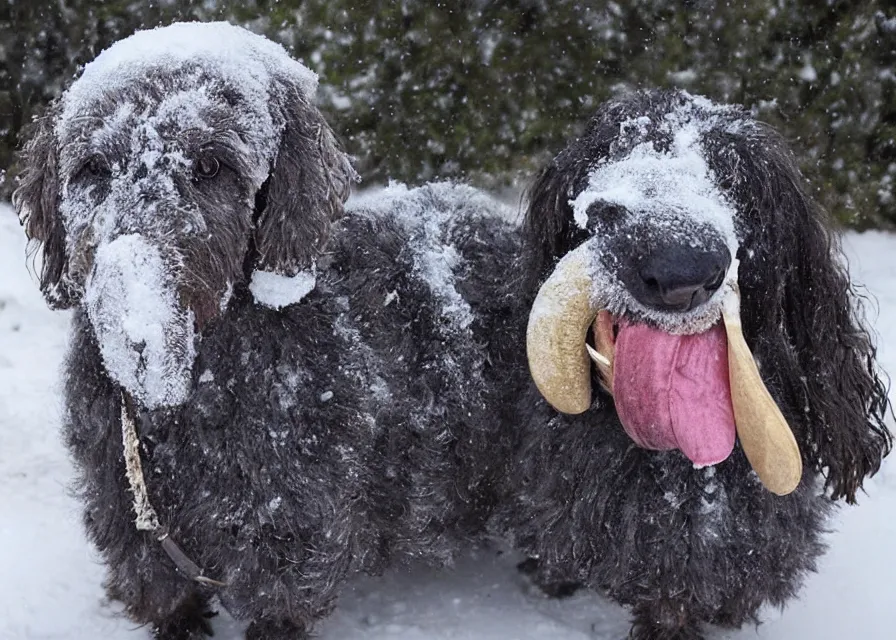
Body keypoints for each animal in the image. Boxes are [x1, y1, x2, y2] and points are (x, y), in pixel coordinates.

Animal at [14, 21, 520, 640]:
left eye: (210, 166)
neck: (194, 397)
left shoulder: (291, 528)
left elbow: (279, 599)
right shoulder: (133, 517)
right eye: (93, 169)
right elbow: (165, 594)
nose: (132, 278)